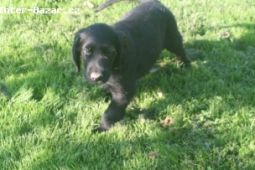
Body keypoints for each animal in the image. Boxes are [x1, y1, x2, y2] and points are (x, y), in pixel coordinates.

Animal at [71, 0, 189, 132]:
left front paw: (102, 128)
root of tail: (154, 2)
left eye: (110, 52)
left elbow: (110, 112)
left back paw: (186, 66)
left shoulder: (124, 91)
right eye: (87, 50)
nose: (96, 77)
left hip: (172, 38)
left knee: (180, 51)